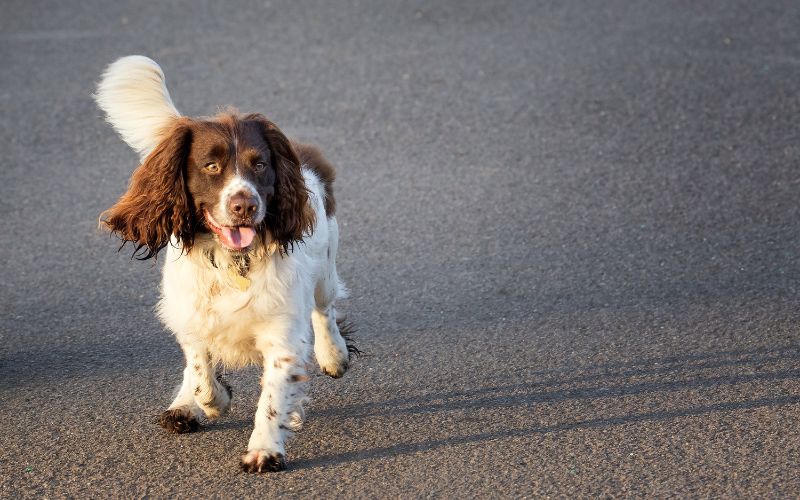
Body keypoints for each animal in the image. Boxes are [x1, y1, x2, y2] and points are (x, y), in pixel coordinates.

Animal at [94, 55, 356, 472]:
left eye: (260, 164)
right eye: (212, 166)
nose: (244, 206)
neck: (233, 262)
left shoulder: (282, 331)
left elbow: (274, 394)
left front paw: (264, 450)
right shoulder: (191, 313)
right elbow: (200, 368)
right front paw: (209, 402)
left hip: (326, 267)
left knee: (324, 309)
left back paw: (333, 356)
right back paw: (184, 406)